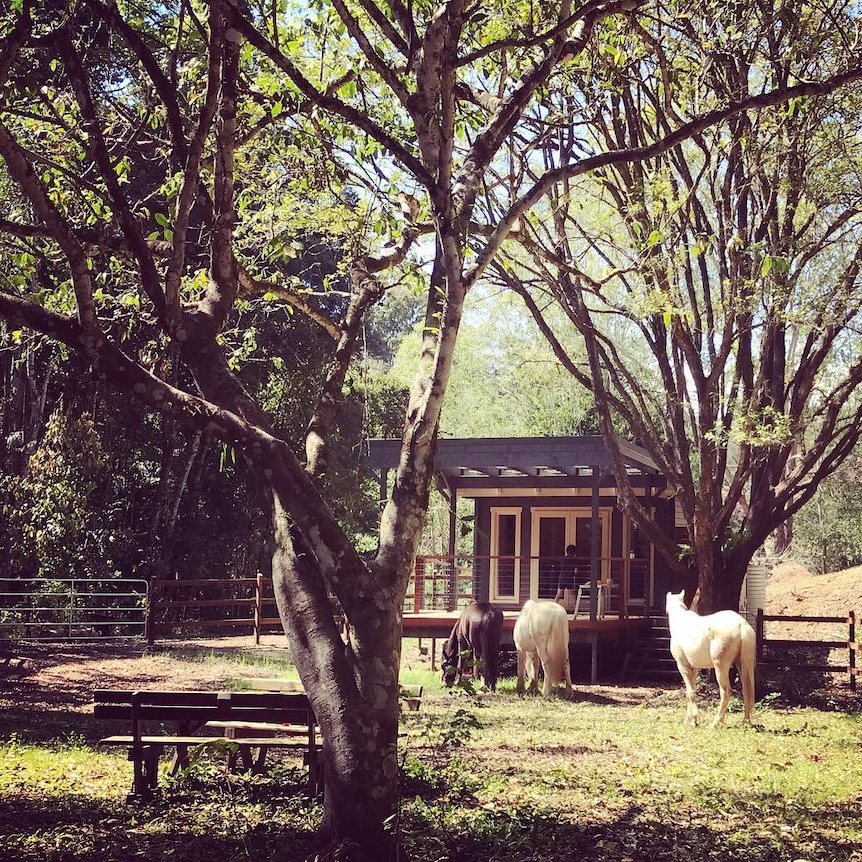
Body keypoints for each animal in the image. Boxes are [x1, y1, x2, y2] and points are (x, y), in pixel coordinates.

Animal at [668, 592, 756, 724]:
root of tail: (741, 625)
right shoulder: (693, 669)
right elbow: (691, 691)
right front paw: (689, 720)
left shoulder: (683, 667)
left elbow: (690, 692)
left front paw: (694, 720)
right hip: (742, 665)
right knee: (747, 690)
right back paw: (745, 721)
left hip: (721, 668)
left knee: (726, 691)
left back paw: (716, 722)